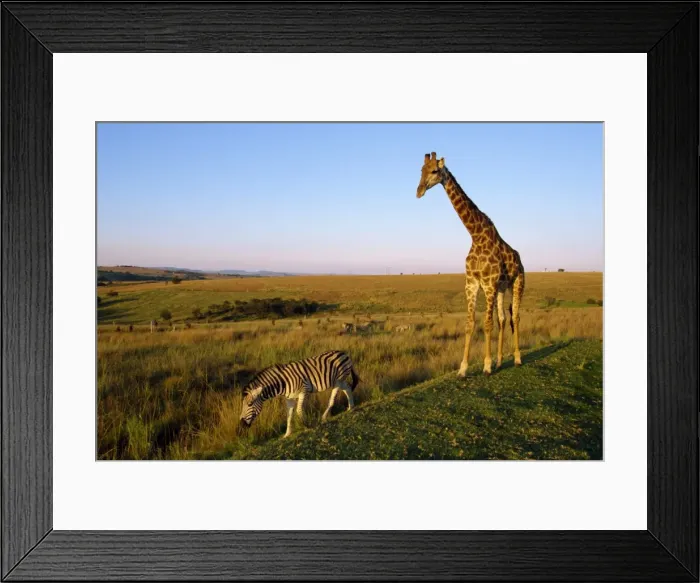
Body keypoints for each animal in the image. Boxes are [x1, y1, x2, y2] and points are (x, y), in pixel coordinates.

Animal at [416, 152, 525, 376]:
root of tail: (520, 259)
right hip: (502, 288)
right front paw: (463, 368)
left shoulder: (488, 284)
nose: (419, 191)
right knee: (503, 319)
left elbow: (487, 323)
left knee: (515, 317)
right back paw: (500, 361)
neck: (476, 235)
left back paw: (517, 358)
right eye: (421, 170)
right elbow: (470, 323)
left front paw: (486, 365)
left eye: (434, 171)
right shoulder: (472, 283)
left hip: (518, 282)